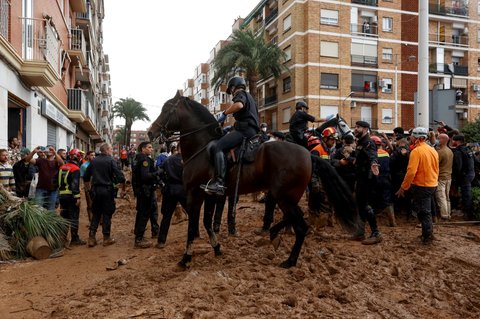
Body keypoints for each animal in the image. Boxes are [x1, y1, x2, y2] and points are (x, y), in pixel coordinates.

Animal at [148, 92, 358, 270]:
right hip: (287, 196)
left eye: (166, 109)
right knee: (294, 219)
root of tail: (308, 154)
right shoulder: (208, 196)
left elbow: (192, 228)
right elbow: (207, 223)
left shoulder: (195, 195)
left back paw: (289, 260)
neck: (202, 147)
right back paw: (275, 235)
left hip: (285, 196)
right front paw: (217, 248)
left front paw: (186, 258)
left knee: (300, 225)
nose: (150, 132)